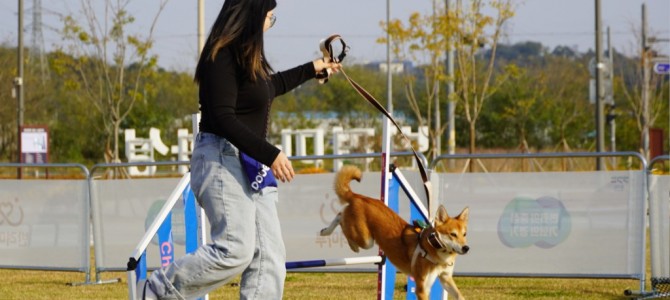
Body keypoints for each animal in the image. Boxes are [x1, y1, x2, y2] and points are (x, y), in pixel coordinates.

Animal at [322, 165, 472, 298]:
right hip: (365, 240)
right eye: (453, 234)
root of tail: (360, 197)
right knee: (341, 218)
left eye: (464, 234)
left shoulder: (446, 279)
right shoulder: (422, 288)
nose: (466, 248)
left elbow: (460, 296)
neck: (435, 247)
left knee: (341, 215)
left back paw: (326, 231)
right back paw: (332, 235)